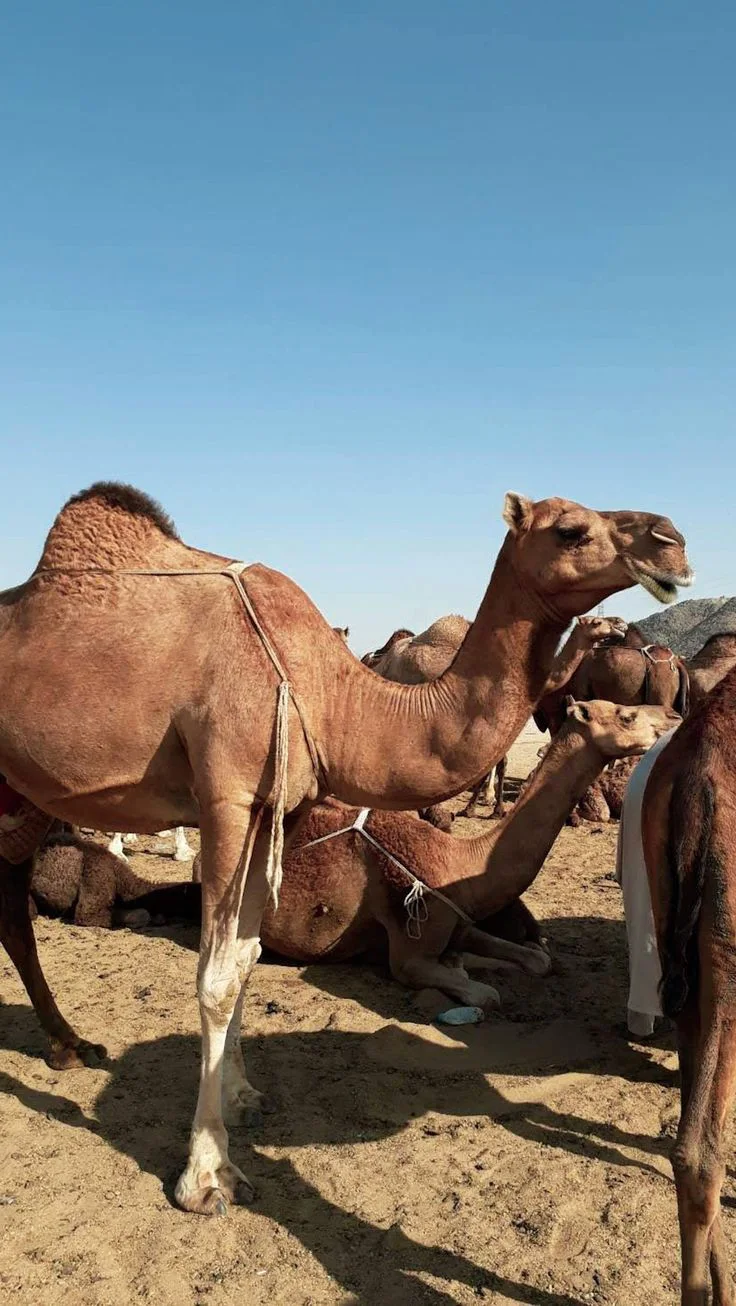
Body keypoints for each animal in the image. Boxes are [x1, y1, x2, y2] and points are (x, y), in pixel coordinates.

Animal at [0, 485, 689, 1217]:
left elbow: (246, 959)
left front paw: (242, 1097)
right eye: (570, 529)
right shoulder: (227, 795)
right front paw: (207, 1175)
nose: (672, 542)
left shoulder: (276, 806)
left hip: (19, 793)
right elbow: (217, 977)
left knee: (14, 913)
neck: (337, 697)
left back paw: (69, 1045)